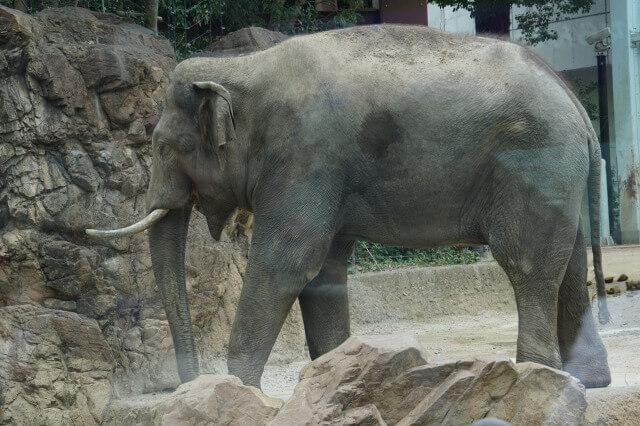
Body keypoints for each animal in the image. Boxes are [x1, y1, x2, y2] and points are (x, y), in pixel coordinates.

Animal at [87, 23, 612, 390]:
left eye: (160, 148)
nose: (192, 383)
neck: (242, 68)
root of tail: (577, 105)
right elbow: (324, 270)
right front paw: (339, 378)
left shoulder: (306, 153)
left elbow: (287, 262)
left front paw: (240, 391)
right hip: (560, 173)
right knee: (570, 262)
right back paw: (587, 381)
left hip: (536, 163)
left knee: (528, 265)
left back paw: (540, 377)